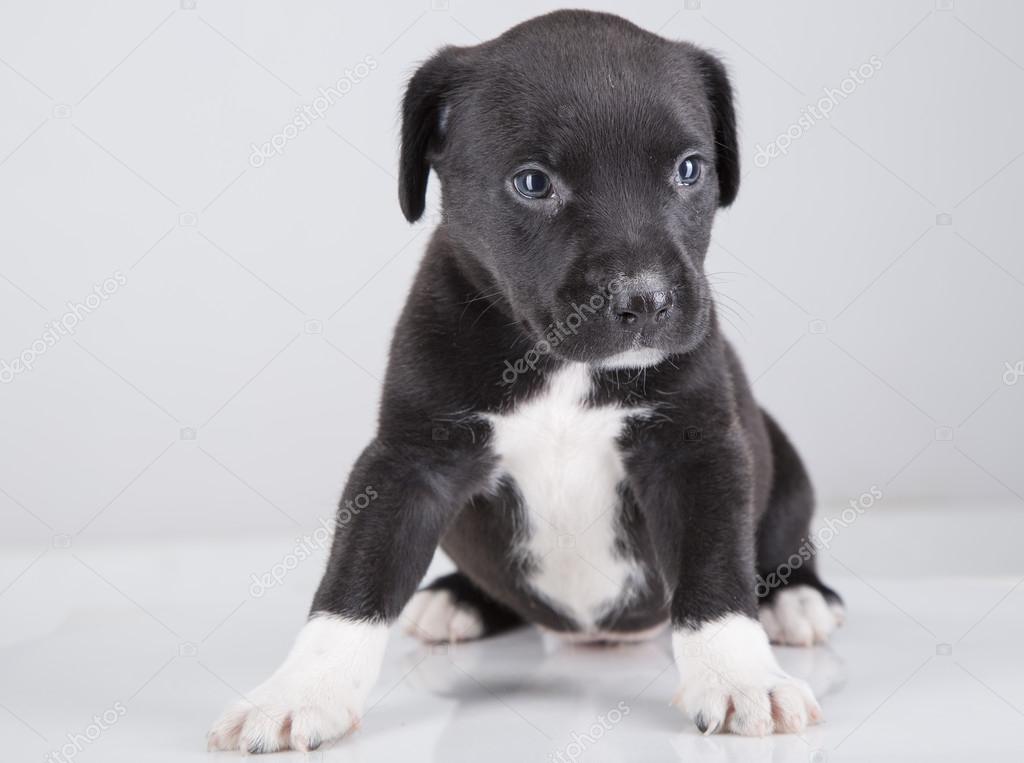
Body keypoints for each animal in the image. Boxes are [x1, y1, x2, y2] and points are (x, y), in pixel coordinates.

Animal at [205, 8, 839, 753]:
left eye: (690, 170)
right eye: (533, 183)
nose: (646, 298)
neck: (563, 366)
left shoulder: (697, 451)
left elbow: (715, 574)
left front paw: (741, 677)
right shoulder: (408, 462)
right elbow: (355, 578)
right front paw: (301, 689)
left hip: (785, 466)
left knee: (781, 541)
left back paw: (795, 597)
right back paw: (458, 599)